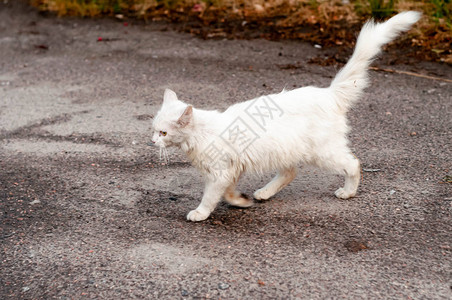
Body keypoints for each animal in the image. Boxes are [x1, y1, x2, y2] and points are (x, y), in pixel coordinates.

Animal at [151, 11, 420, 221]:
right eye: (153, 130)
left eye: (163, 132)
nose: (152, 141)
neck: (202, 134)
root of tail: (328, 93)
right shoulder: (232, 169)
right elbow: (228, 192)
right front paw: (241, 201)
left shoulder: (220, 172)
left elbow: (210, 196)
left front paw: (200, 213)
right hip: (284, 148)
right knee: (290, 173)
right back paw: (264, 193)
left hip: (322, 152)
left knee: (352, 163)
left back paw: (348, 192)